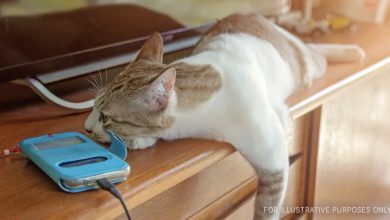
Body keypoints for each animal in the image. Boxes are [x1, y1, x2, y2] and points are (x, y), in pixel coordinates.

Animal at [85, 13, 360, 218]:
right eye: (94, 107)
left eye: (106, 118)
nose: (86, 128)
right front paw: (139, 140)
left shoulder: (274, 159)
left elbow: (267, 208)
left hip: (306, 66)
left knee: (315, 52)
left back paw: (354, 51)